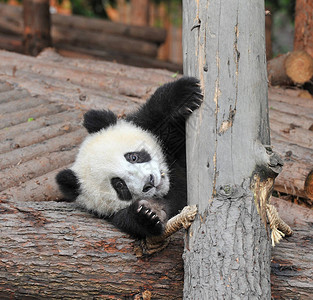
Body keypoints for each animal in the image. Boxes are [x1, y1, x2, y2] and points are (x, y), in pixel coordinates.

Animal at [56, 76, 202, 238]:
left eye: (133, 157)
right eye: (119, 185)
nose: (149, 182)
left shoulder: (157, 130)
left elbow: (156, 113)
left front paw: (185, 93)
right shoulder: (110, 215)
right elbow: (128, 220)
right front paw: (150, 212)